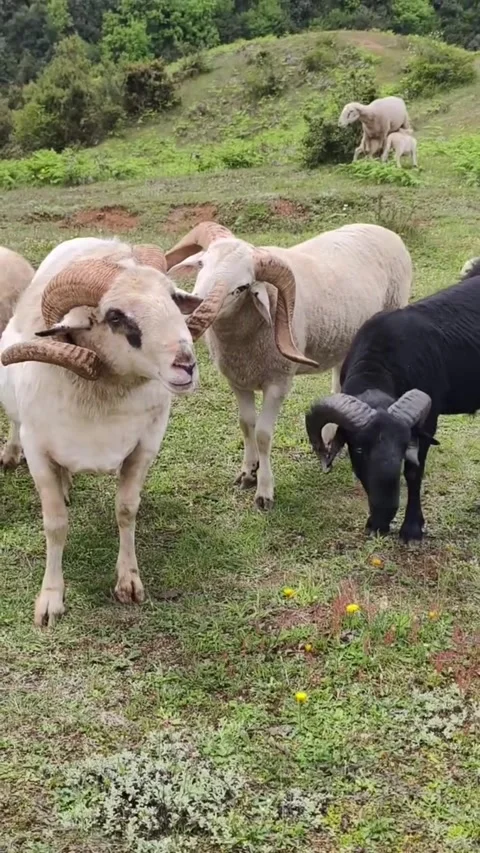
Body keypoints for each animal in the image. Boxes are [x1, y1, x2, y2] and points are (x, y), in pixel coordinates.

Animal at [0, 236, 224, 626]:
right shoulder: (38, 452)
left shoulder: (145, 446)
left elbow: (126, 510)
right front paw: (50, 600)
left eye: (172, 297)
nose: (186, 365)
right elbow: (55, 525)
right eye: (116, 316)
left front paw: (128, 582)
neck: (102, 405)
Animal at [164, 220, 412, 511]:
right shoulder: (237, 380)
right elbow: (246, 424)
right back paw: (331, 437)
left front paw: (264, 492)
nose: (192, 311)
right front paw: (247, 473)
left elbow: (263, 434)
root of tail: (383, 229)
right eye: (202, 263)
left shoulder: (278, 383)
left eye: (242, 287)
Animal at [305, 260, 480, 543]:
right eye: (359, 449)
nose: (384, 514)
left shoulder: (428, 421)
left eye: (402, 447)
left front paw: (411, 529)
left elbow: (414, 472)